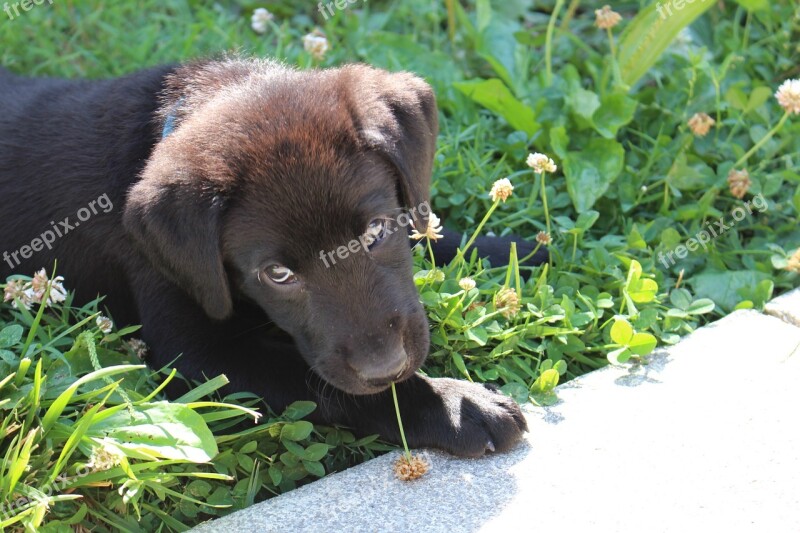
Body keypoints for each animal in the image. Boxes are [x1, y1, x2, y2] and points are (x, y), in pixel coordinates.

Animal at [0, 59, 544, 458]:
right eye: (277, 274)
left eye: (375, 231)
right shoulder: (197, 353)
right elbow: (322, 384)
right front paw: (455, 405)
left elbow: (428, 230)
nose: (385, 368)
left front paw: (520, 249)